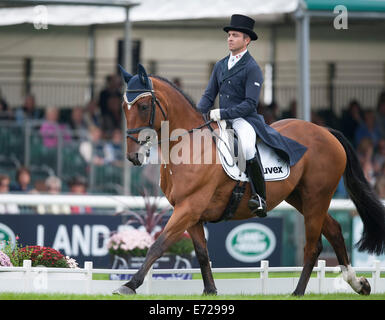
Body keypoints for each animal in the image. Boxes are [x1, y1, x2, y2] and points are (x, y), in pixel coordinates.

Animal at [113, 65, 384, 298]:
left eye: (144, 106)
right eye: (124, 107)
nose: (133, 156)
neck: (189, 146)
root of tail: (326, 131)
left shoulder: (189, 208)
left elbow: (158, 245)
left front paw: (129, 285)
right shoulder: (191, 212)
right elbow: (201, 252)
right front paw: (210, 290)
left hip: (317, 197)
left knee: (312, 246)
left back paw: (298, 292)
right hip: (300, 198)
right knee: (334, 231)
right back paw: (358, 283)